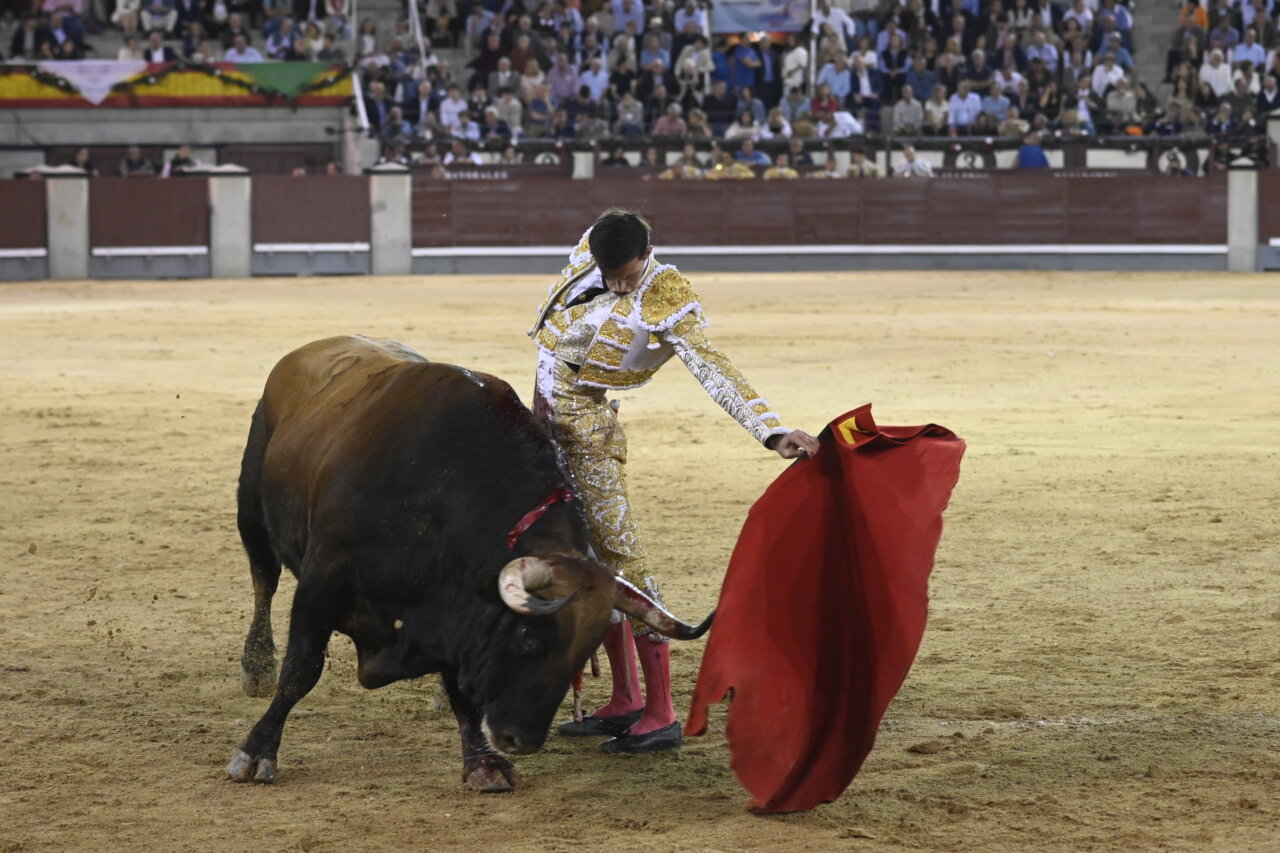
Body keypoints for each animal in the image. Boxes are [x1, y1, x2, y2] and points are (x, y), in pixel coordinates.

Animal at [226, 336, 711, 792]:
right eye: (528, 639)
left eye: (583, 653)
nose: (522, 740)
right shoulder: (323, 581)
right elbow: (301, 670)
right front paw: (256, 751)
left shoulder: (450, 611)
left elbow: (461, 688)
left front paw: (483, 761)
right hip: (252, 511)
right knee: (264, 581)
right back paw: (256, 667)